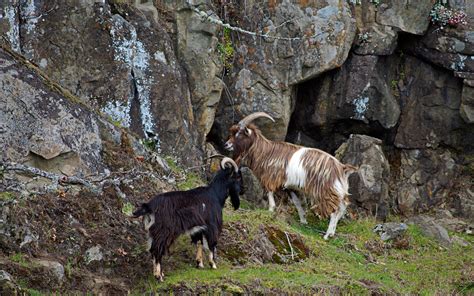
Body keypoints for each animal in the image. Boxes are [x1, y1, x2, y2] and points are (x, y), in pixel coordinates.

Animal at [225, 112, 356, 239]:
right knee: (342, 208)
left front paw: (270, 210)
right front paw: (303, 220)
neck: (265, 152)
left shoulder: (271, 177)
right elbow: (297, 202)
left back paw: (327, 235)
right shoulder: (288, 186)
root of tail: (341, 168)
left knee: (334, 211)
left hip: (327, 191)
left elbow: (270, 193)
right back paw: (332, 233)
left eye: (239, 134)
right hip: (339, 191)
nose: (226, 144)